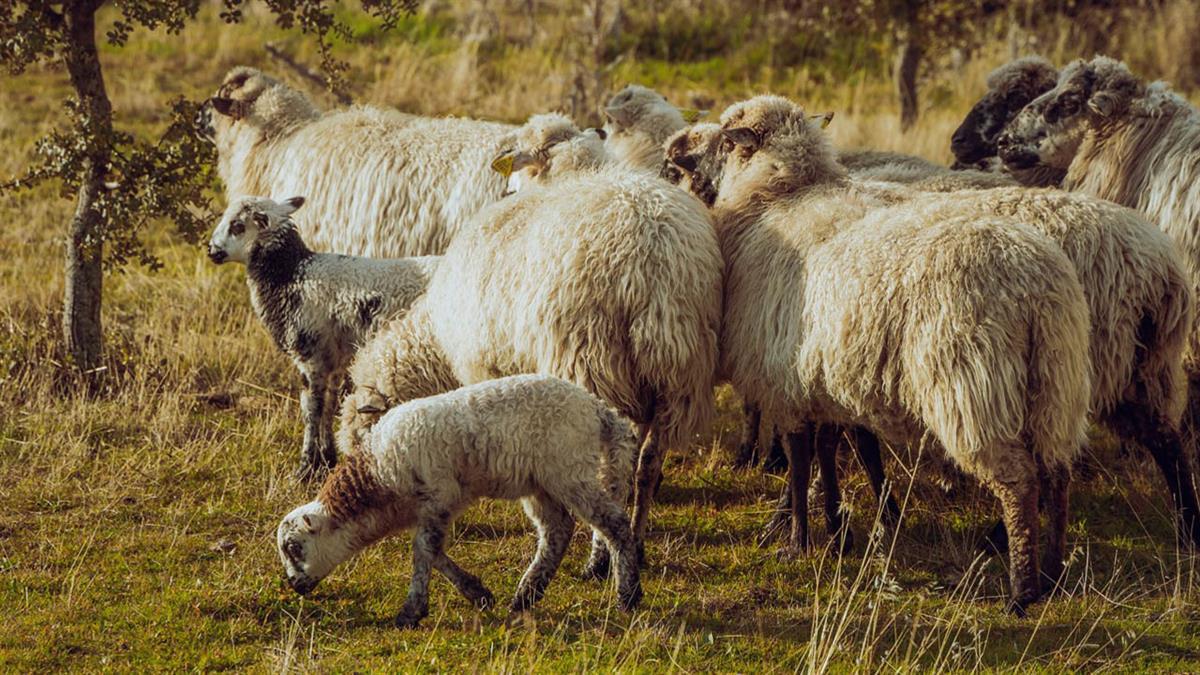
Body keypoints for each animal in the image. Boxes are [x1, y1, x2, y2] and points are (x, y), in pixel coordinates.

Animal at [208, 195, 438, 478]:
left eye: (237, 225)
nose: (211, 251)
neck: (291, 275)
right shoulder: (336, 359)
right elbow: (329, 403)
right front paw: (327, 457)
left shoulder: (309, 354)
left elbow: (311, 408)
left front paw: (305, 466)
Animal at [278, 374, 643, 628]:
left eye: (295, 548)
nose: (294, 585)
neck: (378, 473)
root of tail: (597, 408)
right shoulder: (433, 509)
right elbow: (434, 551)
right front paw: (478, 594)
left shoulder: (439, 496)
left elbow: (424, 551)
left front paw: (411, 612)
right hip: (541, 483)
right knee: (557, 531)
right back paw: (525, 596)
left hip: (570, 471)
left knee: (614, 523)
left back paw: (628, 596)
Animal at [340, 114, 723, 556]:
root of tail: (655, 252)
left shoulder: (484, 368)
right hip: (678, 370)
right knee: (647, 460)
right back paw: (638, 535)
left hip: (593, 363)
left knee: (614, 465)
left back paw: (600, 555)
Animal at [712, 95, 1091, 614]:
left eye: (725, 140)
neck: (781, 195)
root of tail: (1033, 282)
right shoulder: (823, 379)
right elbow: (827, 450)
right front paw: (836, 529)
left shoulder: (785, 379)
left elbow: (799, 457)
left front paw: (796, 542)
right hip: (1056, 381)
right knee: (1057, 474)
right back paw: (1052, 572)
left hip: (971, 387)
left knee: (1019, 482)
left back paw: (1022, 590)